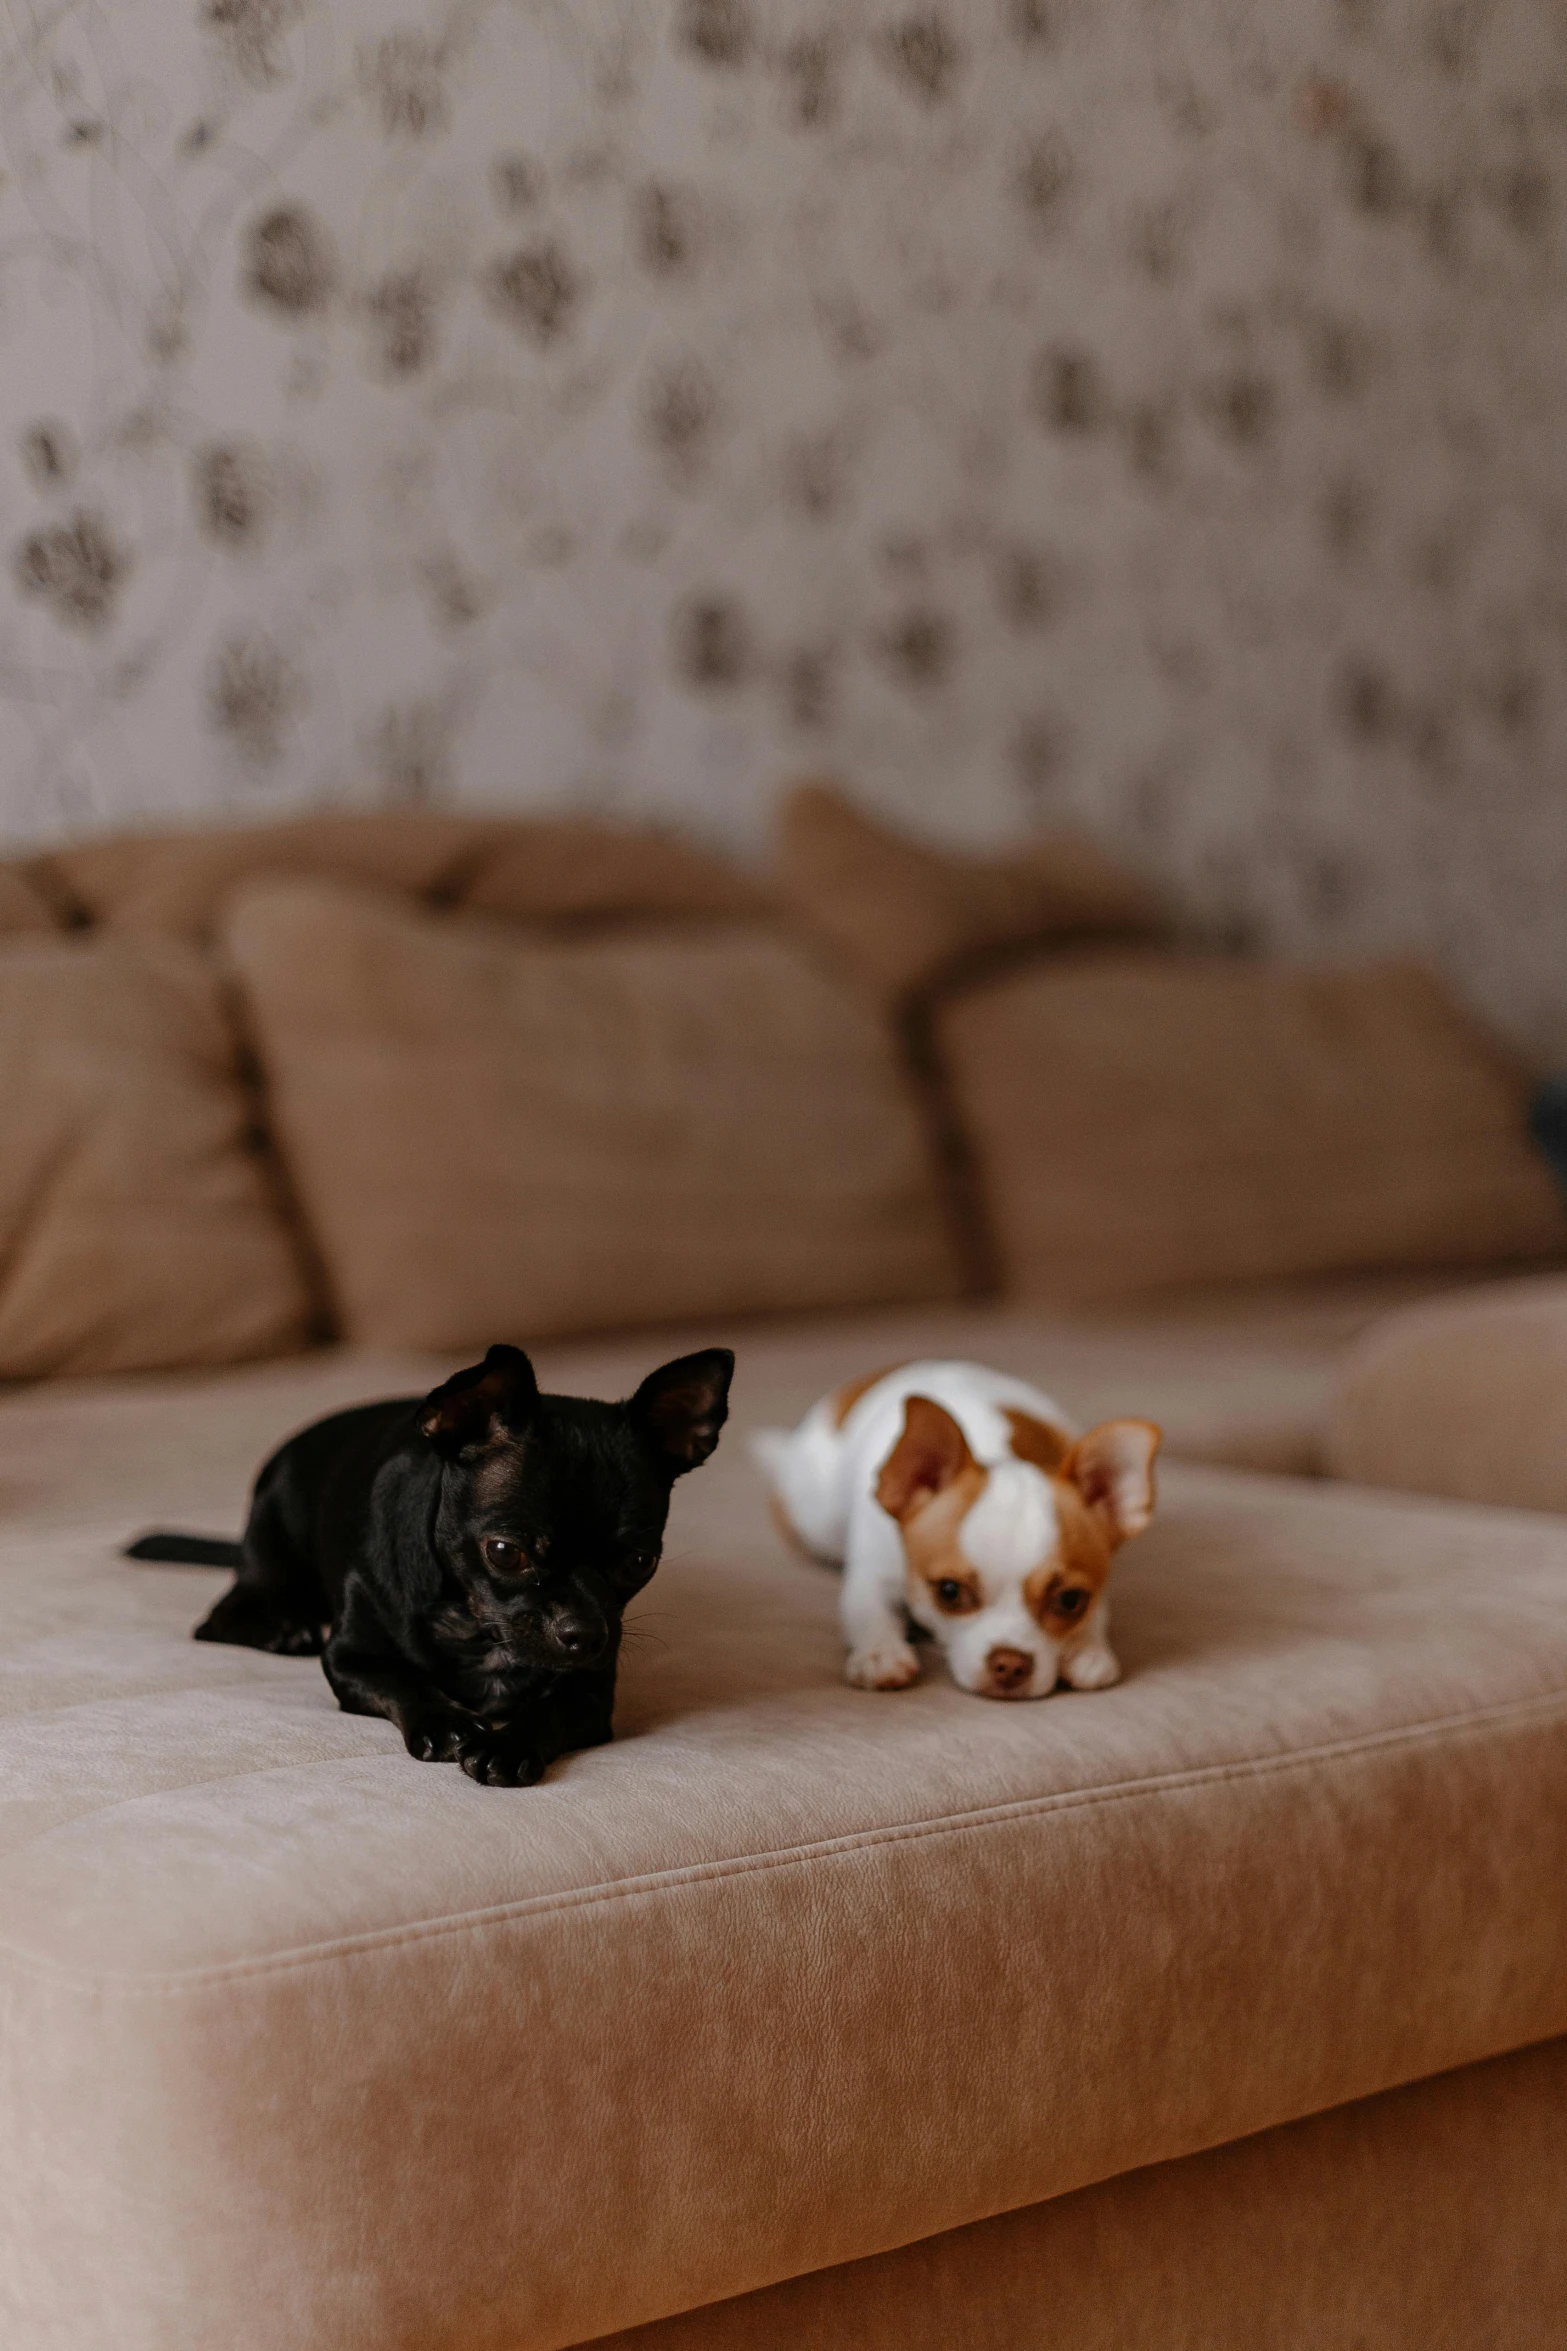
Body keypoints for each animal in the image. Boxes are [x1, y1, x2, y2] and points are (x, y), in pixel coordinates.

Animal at [128, 1344, 737, 1777]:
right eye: (505, 1553)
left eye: (640, 1561)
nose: (584, 1634)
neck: (472, 1625)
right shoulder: (351, 1661)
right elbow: (405, 1682)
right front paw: (447, 1723)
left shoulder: (589, 1691)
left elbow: (549, 1711)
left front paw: (507, 1745)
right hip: (272, 1555)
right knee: (221, 1618)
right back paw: (283, 1630)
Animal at [751, 1372, 1160, 1702]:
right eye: (949, 1592)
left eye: (1070, 1600)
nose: (1011, 1664)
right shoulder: (873, 1573)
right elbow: (869, 1612)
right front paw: (880, 1653)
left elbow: (1099, 1613)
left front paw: (1089, 1651)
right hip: (817, 1518)